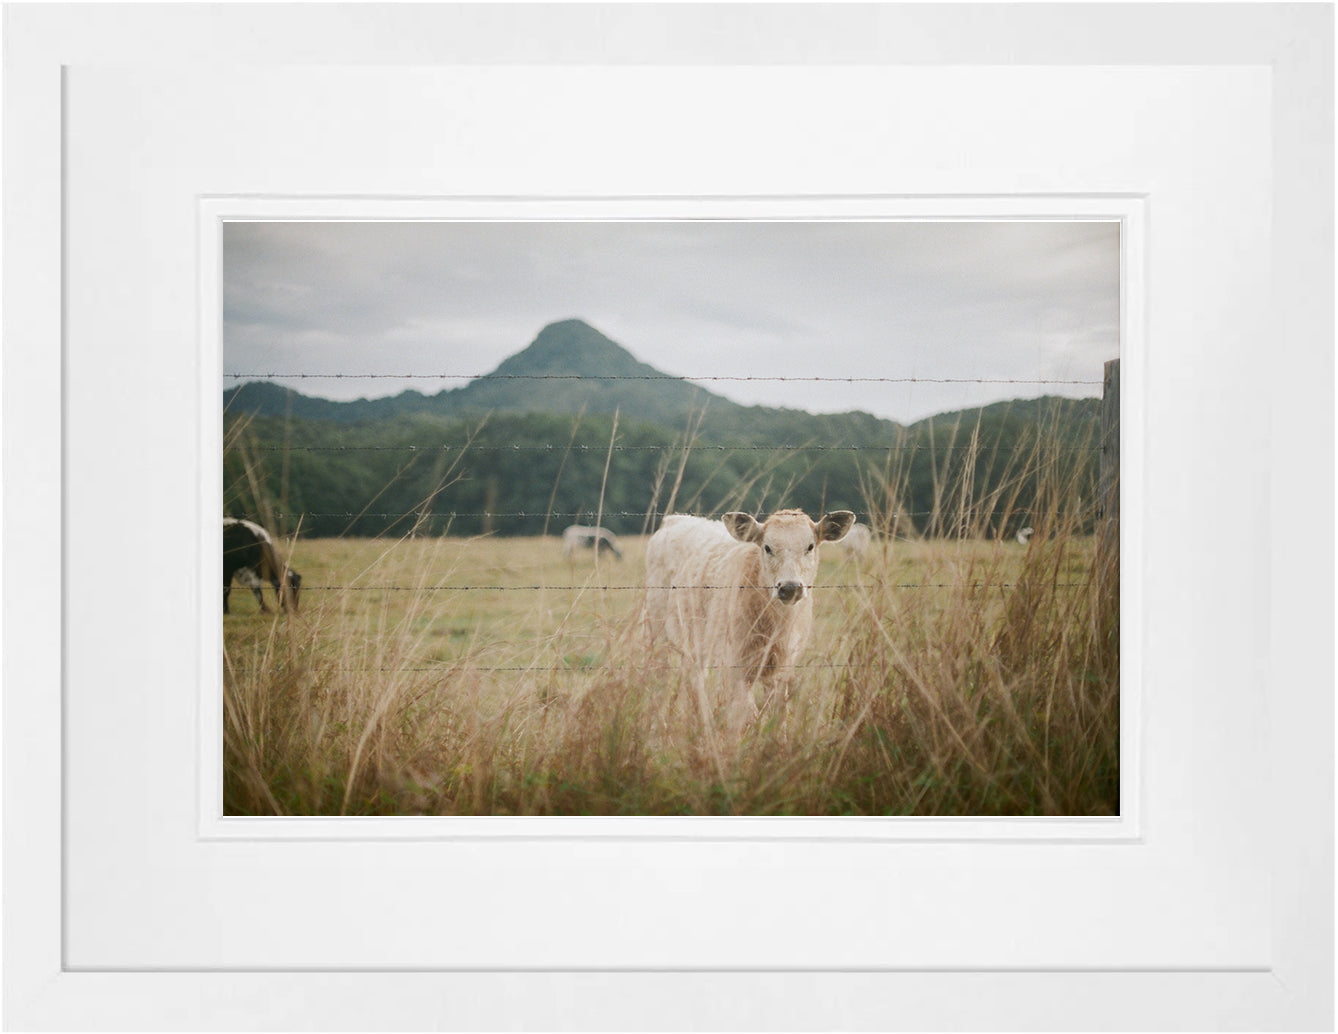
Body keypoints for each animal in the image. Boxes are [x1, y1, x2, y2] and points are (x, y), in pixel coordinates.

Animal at [645, 508, 854, 729]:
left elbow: (778, 714)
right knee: (660, 678)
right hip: (655, 630)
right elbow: (744, 715)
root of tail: (676, 518)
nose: (790, 587)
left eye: (810, 546)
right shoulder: (733, 664)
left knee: (693, 677)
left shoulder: (783, 666)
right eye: (767, 547)